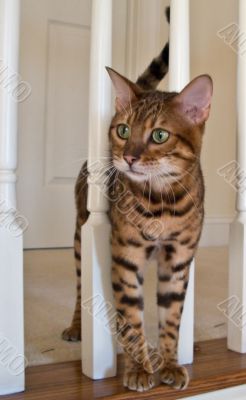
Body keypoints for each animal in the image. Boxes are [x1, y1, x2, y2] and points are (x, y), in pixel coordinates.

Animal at [62, 10, 212, 394]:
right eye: (123, 130)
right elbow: (131, 317)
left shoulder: (178, 259)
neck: (161, 202)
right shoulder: (125, 255)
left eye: (159, 135)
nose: (128, 157)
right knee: (81, 288)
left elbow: (171, 318)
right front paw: (140, 368)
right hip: (79, 239)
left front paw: (170, 362)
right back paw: (77, 327)